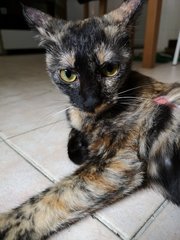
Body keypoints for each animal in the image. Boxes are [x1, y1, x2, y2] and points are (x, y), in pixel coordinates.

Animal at [0, 0, 180, 239]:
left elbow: (48, 200)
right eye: (68, 74)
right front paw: (83, 146)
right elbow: (73, 138)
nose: (90, 101)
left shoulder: (118, 163)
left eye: (110, 69)